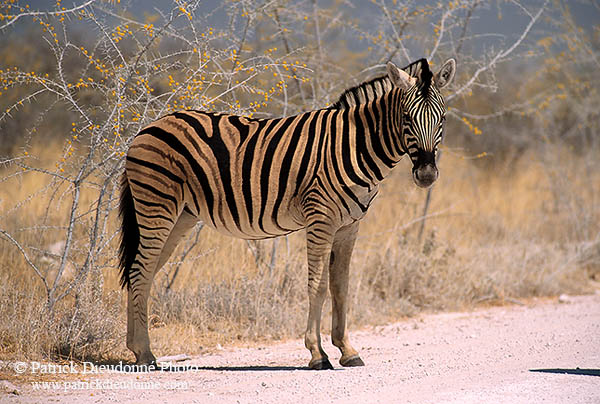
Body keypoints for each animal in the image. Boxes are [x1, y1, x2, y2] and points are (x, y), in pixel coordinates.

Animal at [118, 56, 454, 370]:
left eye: (442, 118)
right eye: (406, 118)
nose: (427, 174)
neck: (356, 144)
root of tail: (148, 128)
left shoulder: (349, 227)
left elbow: (341, 286)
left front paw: (347, 350)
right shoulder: (321, 219)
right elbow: (318, 286)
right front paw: (317, 354)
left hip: (181, 216)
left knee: (142, 272)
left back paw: (136, 349)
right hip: (157, 205)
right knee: (140, 270)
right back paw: (145, 355)